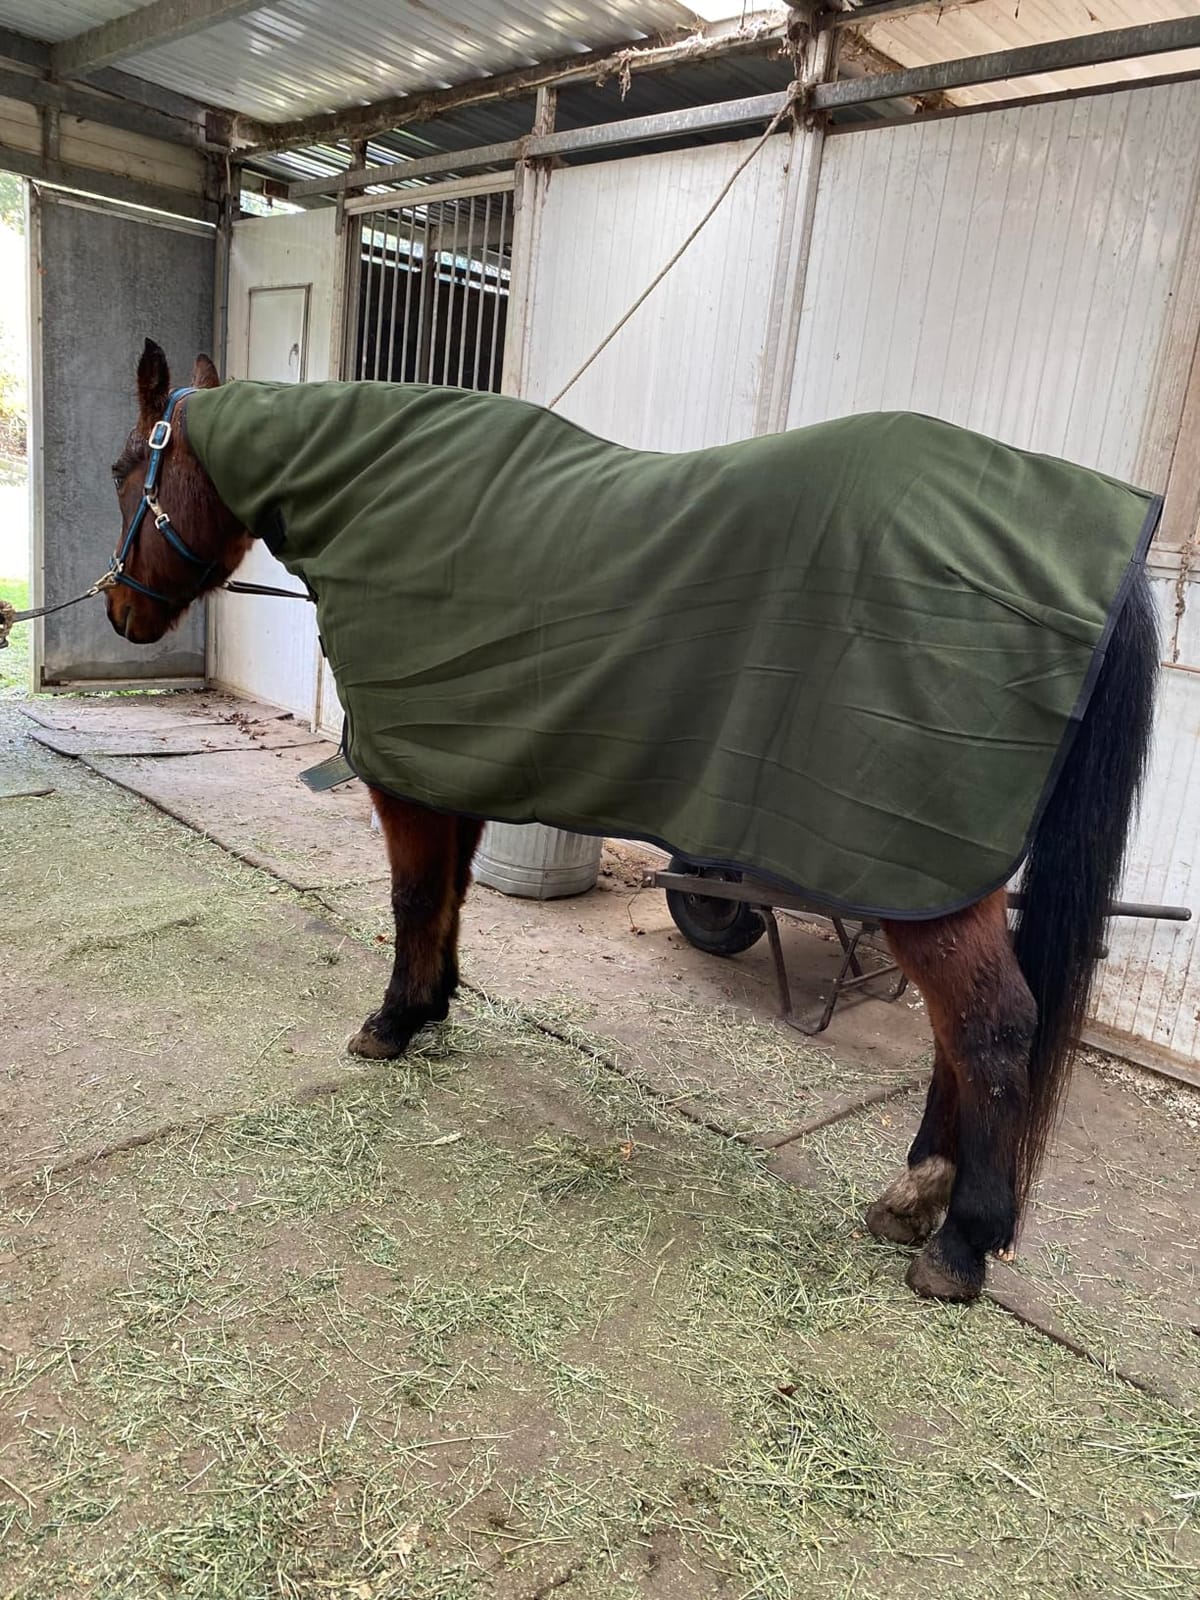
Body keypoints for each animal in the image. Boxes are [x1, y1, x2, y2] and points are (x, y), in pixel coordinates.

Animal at [104, 339, 1158, 1305]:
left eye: (123, 470)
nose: (118, 613)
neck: (388, 493)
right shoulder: (461, 766)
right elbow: (448, 901)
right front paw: (434, 1007)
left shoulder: (407, 779)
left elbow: (410, 896)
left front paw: (392, 1023)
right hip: (926, 876)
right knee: (958, 1029)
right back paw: (914, 1199)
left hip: (910, 867)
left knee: (991, 1026)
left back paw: (959, 1242)